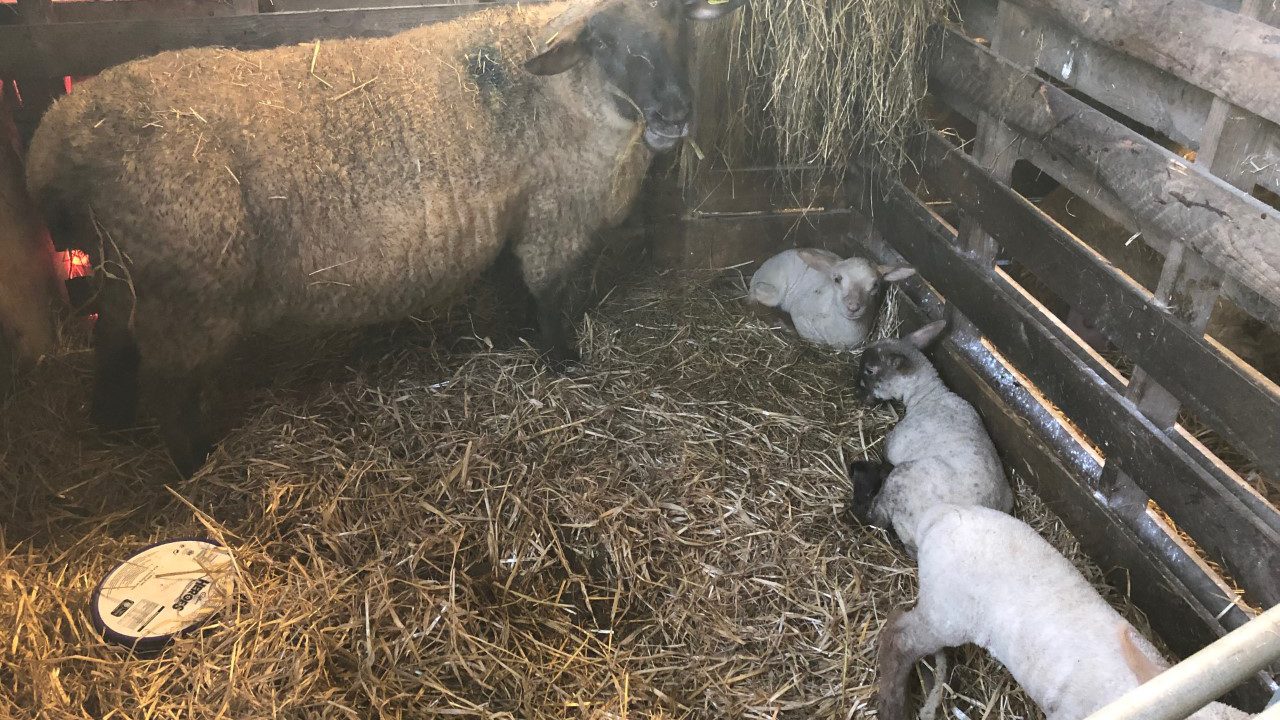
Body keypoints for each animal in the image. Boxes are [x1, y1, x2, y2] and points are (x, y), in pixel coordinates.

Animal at [25, 0, 746, 475]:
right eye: (603, 43)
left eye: (678, 21)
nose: (676, 112)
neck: (562, 95)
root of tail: (55, 138)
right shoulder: (555, 210)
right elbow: (549, 291)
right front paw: (563, 359)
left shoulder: (518, 207)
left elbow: (512, 281)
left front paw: (511, 331)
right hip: (189, 281)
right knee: (169, 387)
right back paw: (193, 463)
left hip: (128, 273)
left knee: (111, 339)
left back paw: (110, 422)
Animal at [748, 248, 914, 350]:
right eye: (837, 279)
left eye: (875, 285)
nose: (853, 307)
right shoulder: (799, 314)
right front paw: (785, 326)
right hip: (772, 290)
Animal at [846, 320, 1013, 555]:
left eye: (870, 370)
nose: (856, 391)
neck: (929, 395)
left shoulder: (895, 445)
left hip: (902, 476)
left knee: (876, 518)